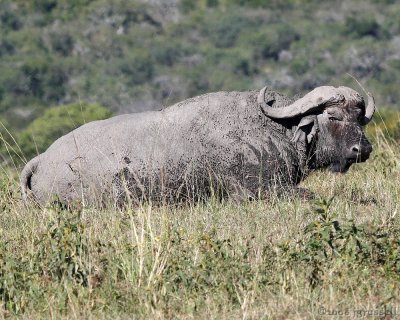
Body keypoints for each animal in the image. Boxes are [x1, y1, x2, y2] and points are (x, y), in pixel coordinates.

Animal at [18, 86, 376, 206]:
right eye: (333, 115)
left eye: (359, 117)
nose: (363, 150)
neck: (274, 128)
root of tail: (42, 160)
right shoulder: (258, 190)